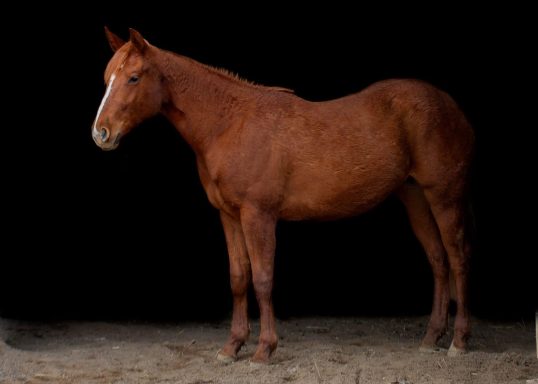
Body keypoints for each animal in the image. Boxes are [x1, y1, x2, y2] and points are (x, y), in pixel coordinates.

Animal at [93, 28, 474, 362]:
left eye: (134, 78)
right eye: (107, 77)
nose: (101, 133)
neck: (229, 124)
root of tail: (452, 107)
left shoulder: (258, 215)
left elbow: (262, 279)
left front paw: (264, 349)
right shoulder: (229, 215)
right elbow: (238, 277)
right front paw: (232, 347)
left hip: (443, 196)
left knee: (456, 258)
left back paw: (459, 341)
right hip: (415, 197)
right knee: (438, 260)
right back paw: (431, 337)